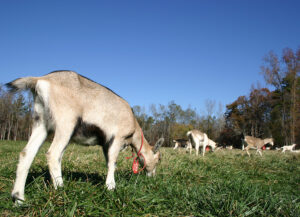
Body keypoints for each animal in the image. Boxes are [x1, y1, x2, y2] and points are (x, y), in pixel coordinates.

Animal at [5, 71, 164, 203]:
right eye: (158, 159)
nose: (152, 177)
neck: (134, 127)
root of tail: (41, 79)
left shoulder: (106, 144)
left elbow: (108, 162)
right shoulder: (116, 138)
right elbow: (112, 163)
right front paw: (111, 188)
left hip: (41, 122)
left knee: (27, 153)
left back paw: (18, 198)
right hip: (66, 123)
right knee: (53, 154)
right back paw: (62, 190)